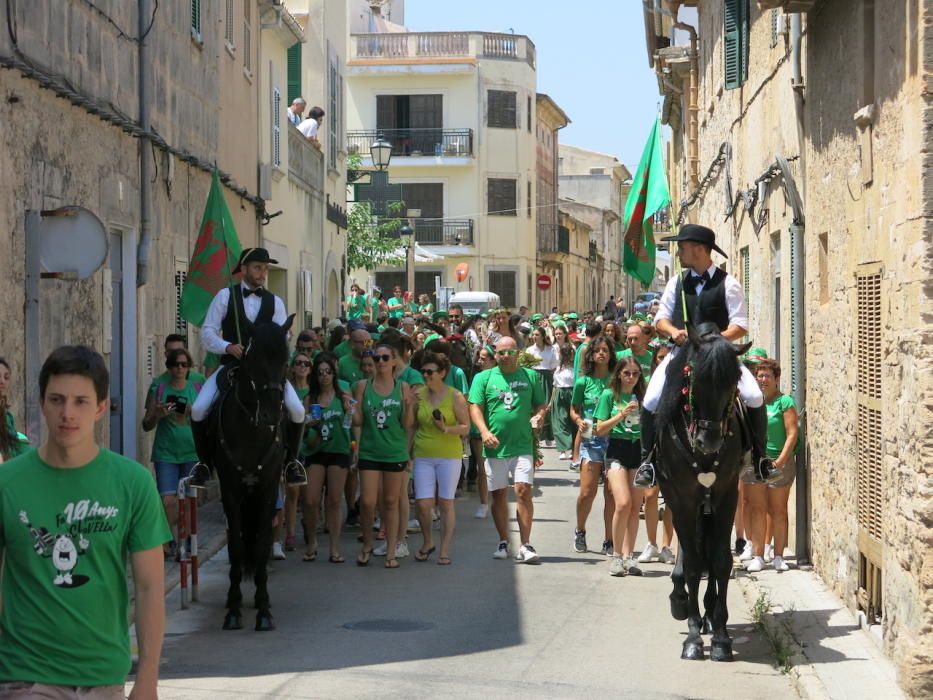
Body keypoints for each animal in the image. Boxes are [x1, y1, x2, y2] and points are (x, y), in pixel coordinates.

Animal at [208, 314, 294, 632]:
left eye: (285, 359)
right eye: (254, 359)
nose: (271, 414)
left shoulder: (268, 490)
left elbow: (260, 544)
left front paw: (264, 609)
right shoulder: (231, 492)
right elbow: (235, 545)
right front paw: (233, 610)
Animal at [656, 322, 748, 660]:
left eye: (733, 381)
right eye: (694, 378)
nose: (709, 441)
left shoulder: (726, 495)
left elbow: (720, 561)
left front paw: (720, 636)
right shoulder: (681, 497)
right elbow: (695, 564)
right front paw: (693, 637)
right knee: (692, 550)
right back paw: (682, 600)